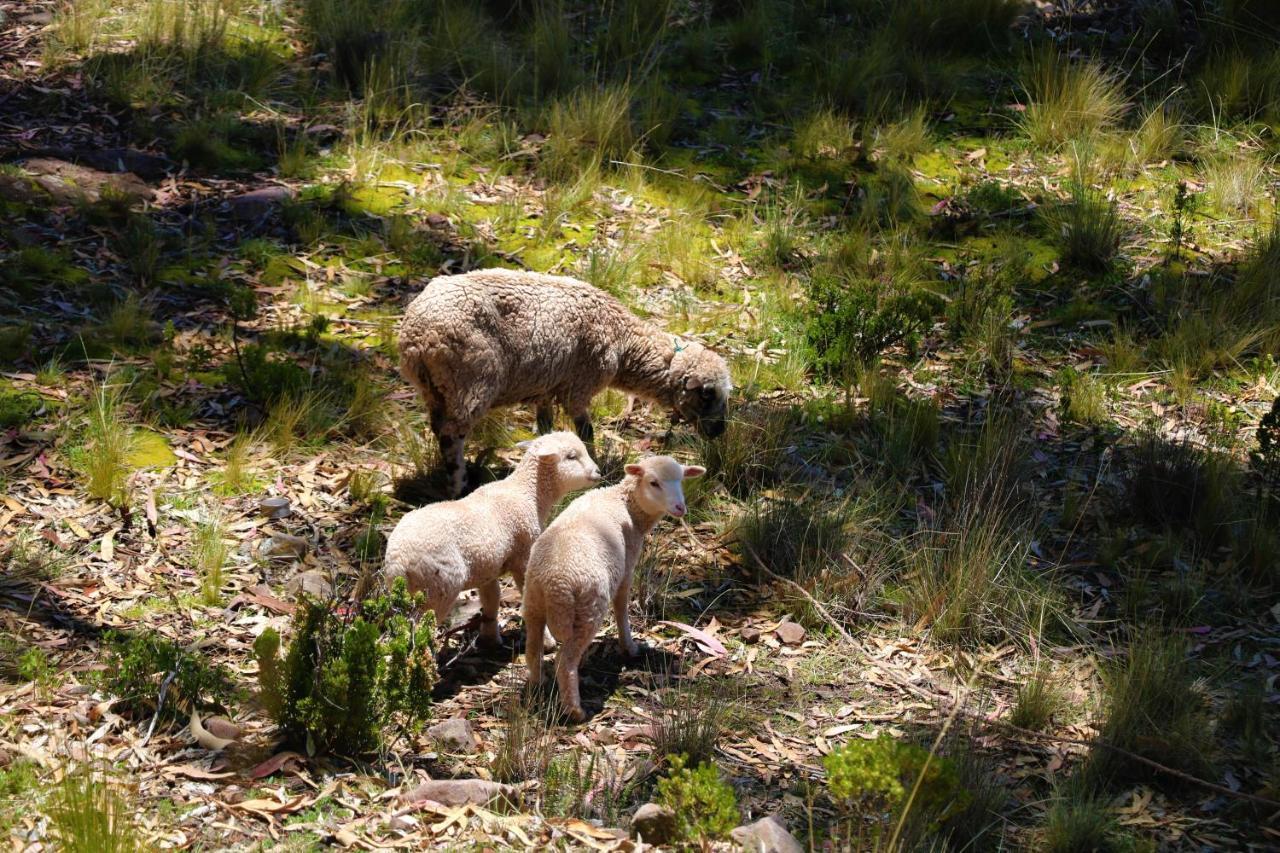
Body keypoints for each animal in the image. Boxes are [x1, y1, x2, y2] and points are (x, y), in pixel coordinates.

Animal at [381, 432, 601, 645]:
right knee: (420, 630)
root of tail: (399, 561)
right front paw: (546, 642)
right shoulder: (523, 554)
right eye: (571, 456)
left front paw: (490, 638)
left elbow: (492, 599)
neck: (528, 493)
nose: (598, 472)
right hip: (438, 587)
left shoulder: (487, 568)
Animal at [399, 268, 732, 494]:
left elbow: (546, 430)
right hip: (471, 381)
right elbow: (586, 432)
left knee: (439, 428)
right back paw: (459, 485)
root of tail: (417, 337)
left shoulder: (547, 386)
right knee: (451, 436)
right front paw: (595, 469)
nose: (720, 431)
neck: (624, 340)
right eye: (707, 393)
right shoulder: (579, 386)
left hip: (437, 389)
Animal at [519, 450, 706, 717]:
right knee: (565, 662)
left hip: (533, 601)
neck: (623, 501)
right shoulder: (627, 566)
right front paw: (629, 647)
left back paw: (537, 686)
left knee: (533, 650)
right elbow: (621, 607)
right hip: (588, 609)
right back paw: (575, 710)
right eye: (654, 483)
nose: (680, 508)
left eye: (681, 480)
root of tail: (555, 583)